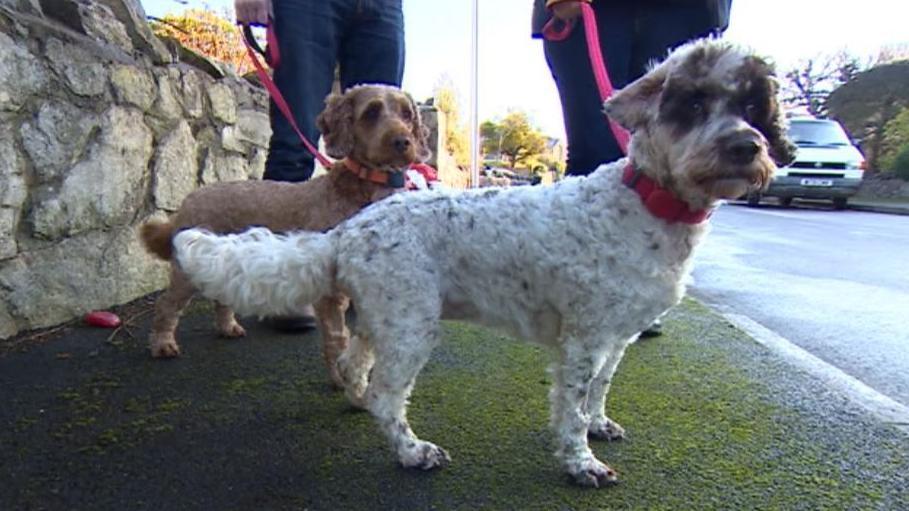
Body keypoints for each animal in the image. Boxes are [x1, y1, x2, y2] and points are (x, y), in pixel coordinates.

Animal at [139, 85, 430, 388]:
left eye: (407, 114)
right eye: (371, 112)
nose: (403, 141)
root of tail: (190, 197)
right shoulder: (330, 293)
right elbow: (337, 338)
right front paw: (342, 378)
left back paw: (228, 327)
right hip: (186, 271)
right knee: (167, 305)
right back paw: (162, 343)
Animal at [174, 40, 792, 488]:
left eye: (752, 107)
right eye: (693, 103)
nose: (747, 147)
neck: (644, 204)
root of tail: (349, 231)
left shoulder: (615, 338)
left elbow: (599, 392)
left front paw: (599, 425)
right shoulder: (583, 340)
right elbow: (571, 409)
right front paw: (580, 463)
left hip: (384, 316)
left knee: (354, 367)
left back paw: (357, 402)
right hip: (412, 324)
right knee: (388, 396)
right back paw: (412, 452)